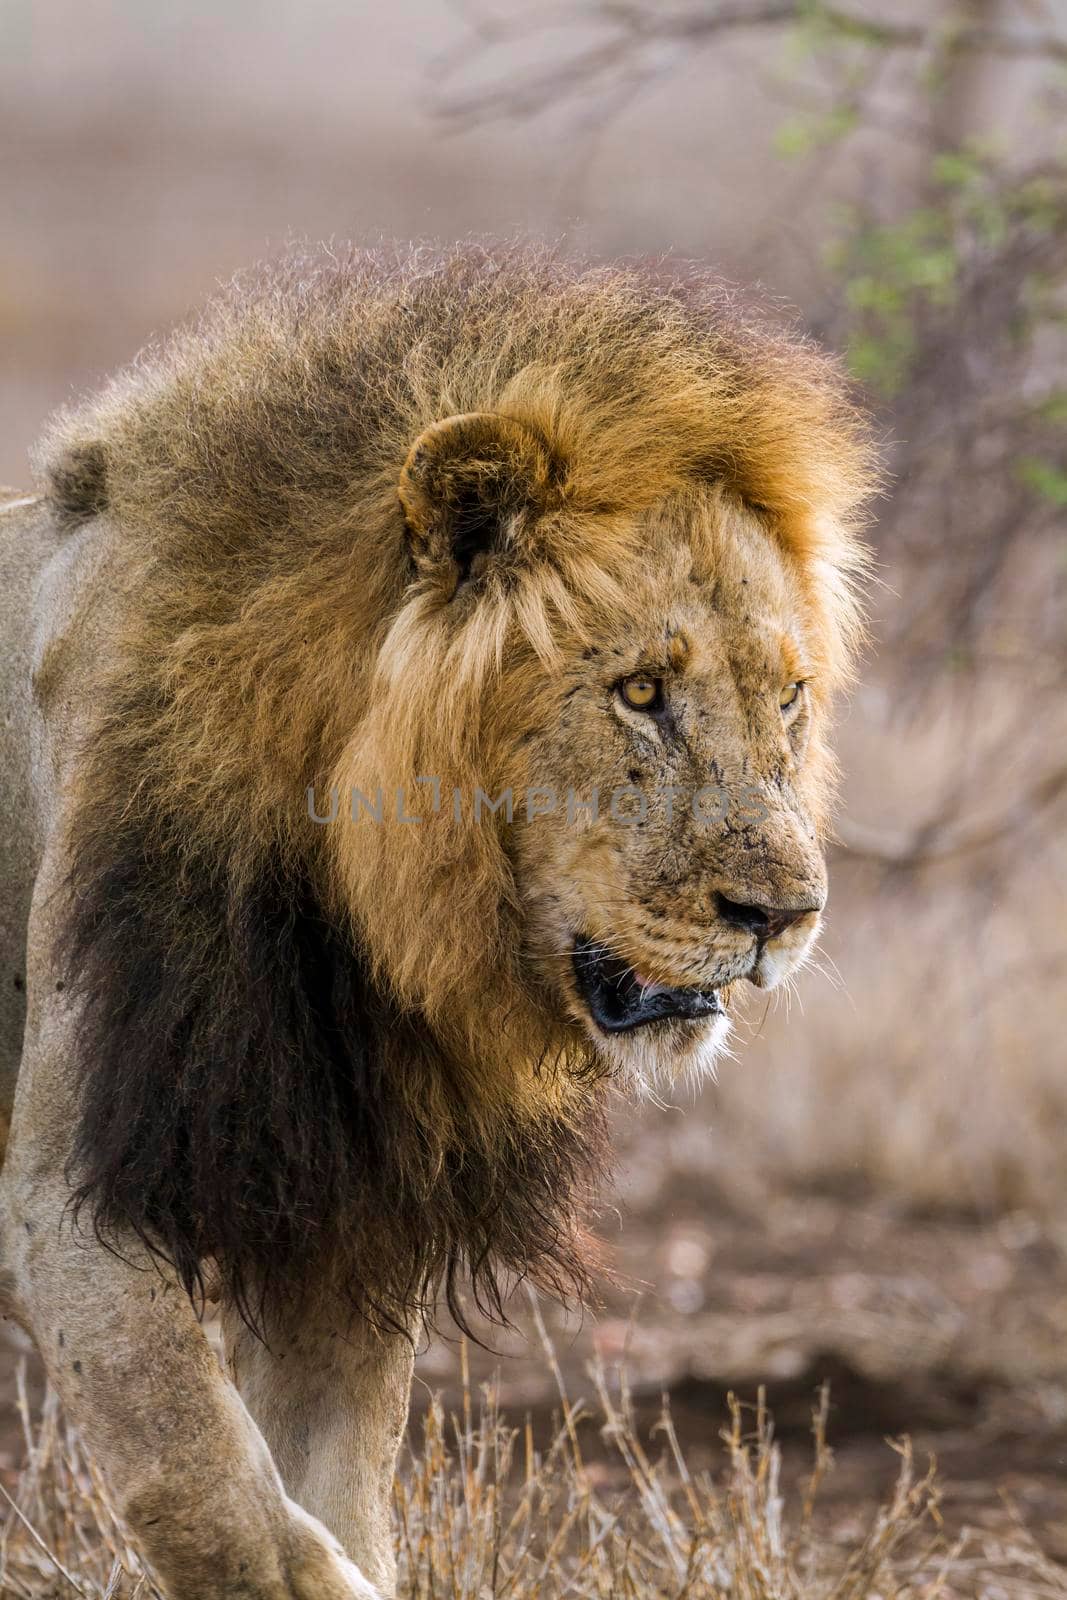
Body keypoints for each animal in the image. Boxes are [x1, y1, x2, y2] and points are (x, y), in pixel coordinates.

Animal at [0, 240, 876, 1600]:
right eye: (640, 691)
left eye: (785, 696)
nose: (783, 916)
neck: (350, 909)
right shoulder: (65, 1193)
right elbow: (205, 1486)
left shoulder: (344, 1205)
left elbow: (332, 1478)